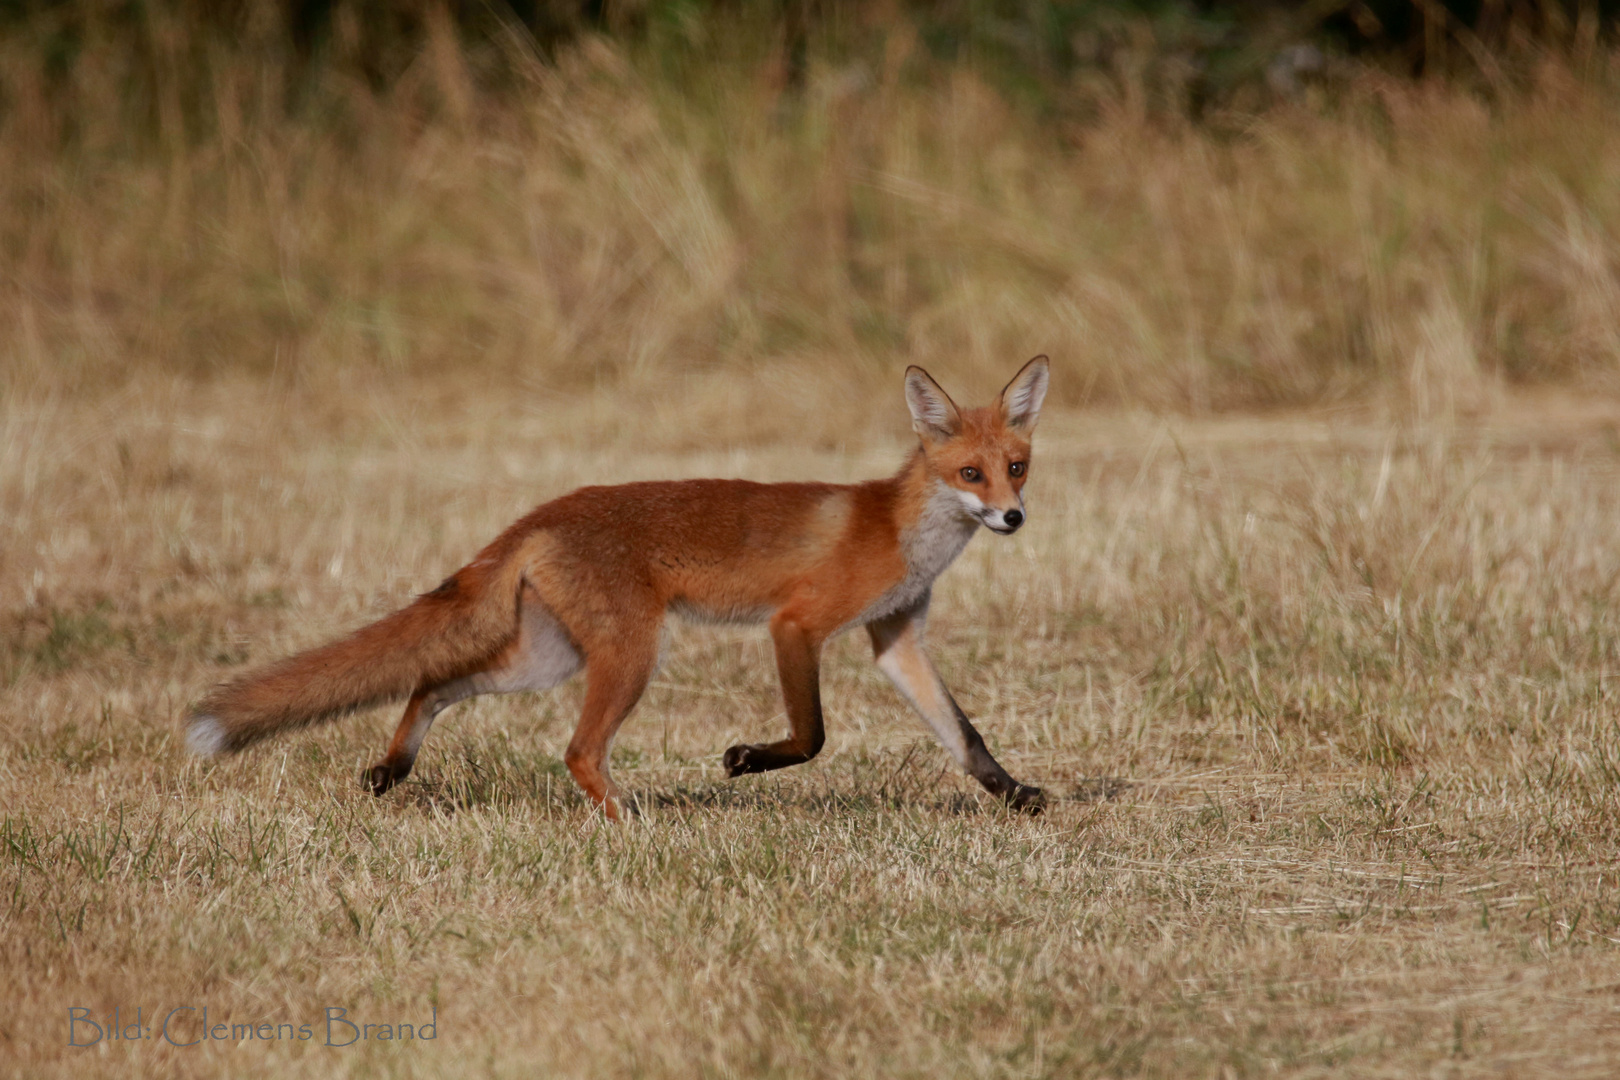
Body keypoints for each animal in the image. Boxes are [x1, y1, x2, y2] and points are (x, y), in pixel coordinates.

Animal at [186, 356, 1049, 819]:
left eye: (1017, 465)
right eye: (969, 473)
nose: (1013, 517)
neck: (902, 532)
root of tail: (544, 512)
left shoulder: (896, 637)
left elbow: (964, 734)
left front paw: (1013, 795)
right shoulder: (797, 625)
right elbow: (813, 737)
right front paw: (745, 760)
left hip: (546, 660)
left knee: (432, 682)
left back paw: (393, 769)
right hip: (631, 654)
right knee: (576, 750)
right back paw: (630, 820)